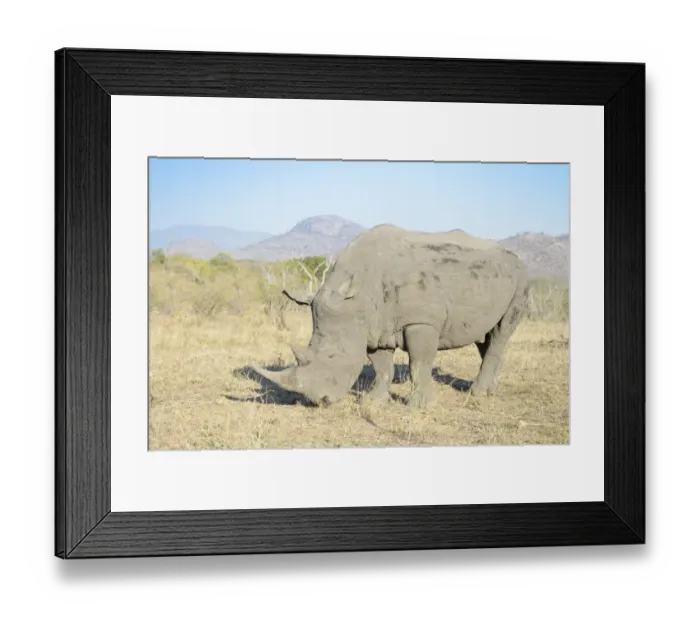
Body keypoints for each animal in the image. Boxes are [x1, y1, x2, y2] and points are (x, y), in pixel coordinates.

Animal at [252, 224, 529, 407]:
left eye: (334, 356)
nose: (321, 400)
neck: (358, 299)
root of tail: (515, 258)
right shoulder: (375, 326)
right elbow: (382, 366)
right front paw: (374, 401)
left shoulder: (421, 320)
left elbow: (419, 363)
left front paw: (420, 406)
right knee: (487, 336)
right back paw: (491, 390)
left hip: (521, 278)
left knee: (501, 331)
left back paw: (477, 394)